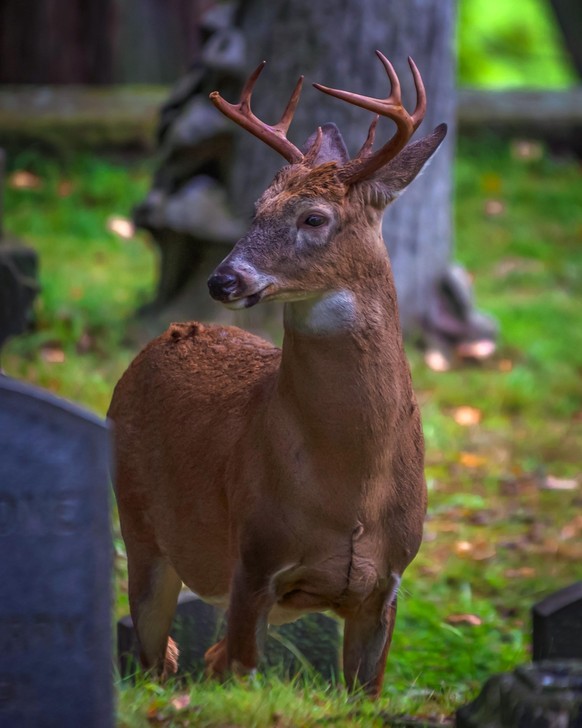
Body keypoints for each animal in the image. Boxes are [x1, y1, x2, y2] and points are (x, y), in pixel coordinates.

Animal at [108, 51, 448, 700]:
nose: (223, 280)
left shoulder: (388, 583)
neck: (352, 492)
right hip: (140, 525)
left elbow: (365, 690)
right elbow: (236, 663)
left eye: (314, 217)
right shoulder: (254, 557)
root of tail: (169, 335)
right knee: (153, 653)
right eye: (254, 210)